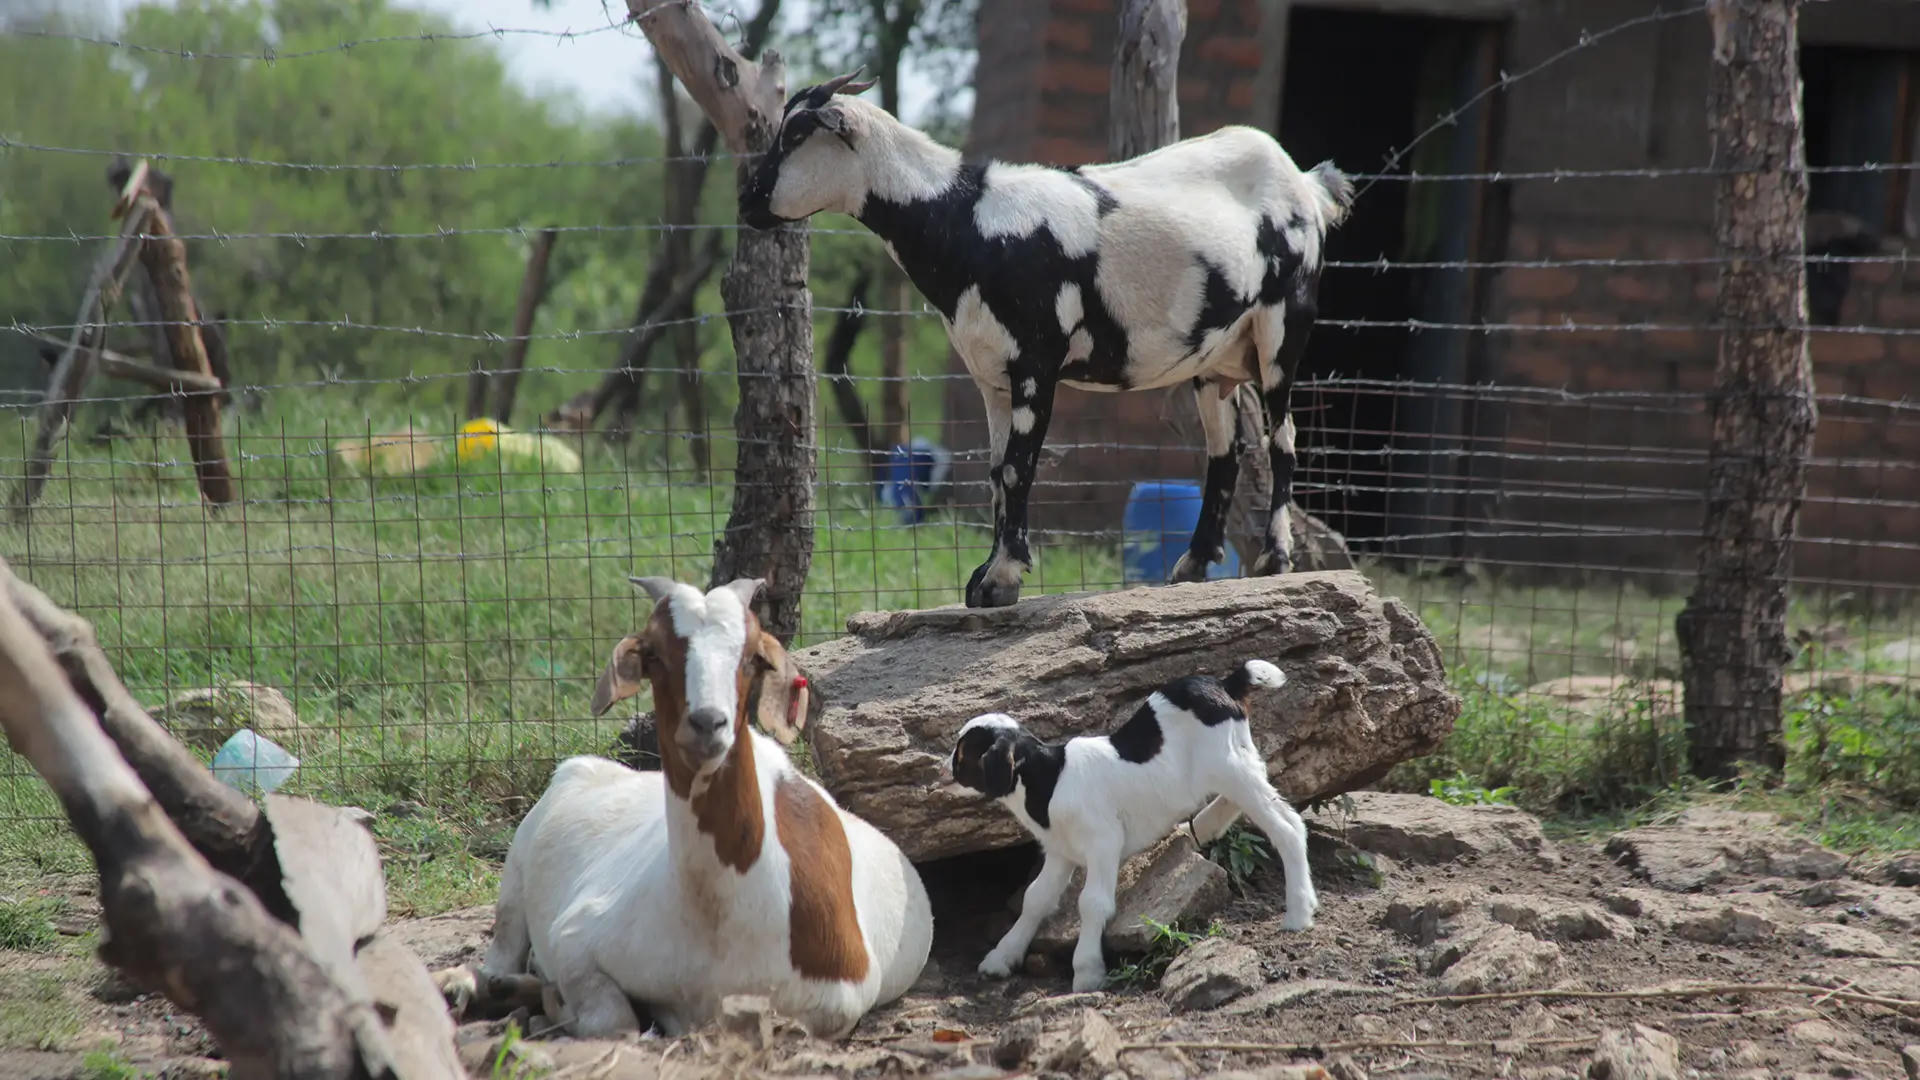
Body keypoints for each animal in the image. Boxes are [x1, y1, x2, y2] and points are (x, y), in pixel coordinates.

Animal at [454, 576, 933, 1039]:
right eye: (654, 653)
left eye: (752, 657)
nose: (707, 723)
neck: (717, 908)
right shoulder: (574, 937)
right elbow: (614, 1022)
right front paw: (554, 1002)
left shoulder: (839, 997)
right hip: (516, 876)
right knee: (501, 950)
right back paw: (478, 985)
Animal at [741, 72, 1353, 608]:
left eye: (795, 134)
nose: (748, 202)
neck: (967, 219)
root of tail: (1305, 182)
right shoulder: (990, 373)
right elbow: (995, 474)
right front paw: (984, 578)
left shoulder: (1036, 359)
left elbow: (1019, 468)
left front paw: (1000, 582)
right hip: (1214, 356)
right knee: (1225, 453)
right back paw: (1193, 566)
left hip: (1282, 325)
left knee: (1283, 438)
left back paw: (1275, 558)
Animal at [945, 659, 1314, 992]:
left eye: (964, 750)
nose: (949, 765)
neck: (1049, 777)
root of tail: (1227, 684)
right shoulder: (1060, 851)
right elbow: (1036, 897)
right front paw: (1002, 957)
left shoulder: (1103, 842)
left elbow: (1092, 903)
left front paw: (1087, 972)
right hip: (1235, 763)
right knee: (1252, 786)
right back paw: (1198, 828)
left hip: (1228, 765)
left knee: (1288, 827)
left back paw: (1299, 912)